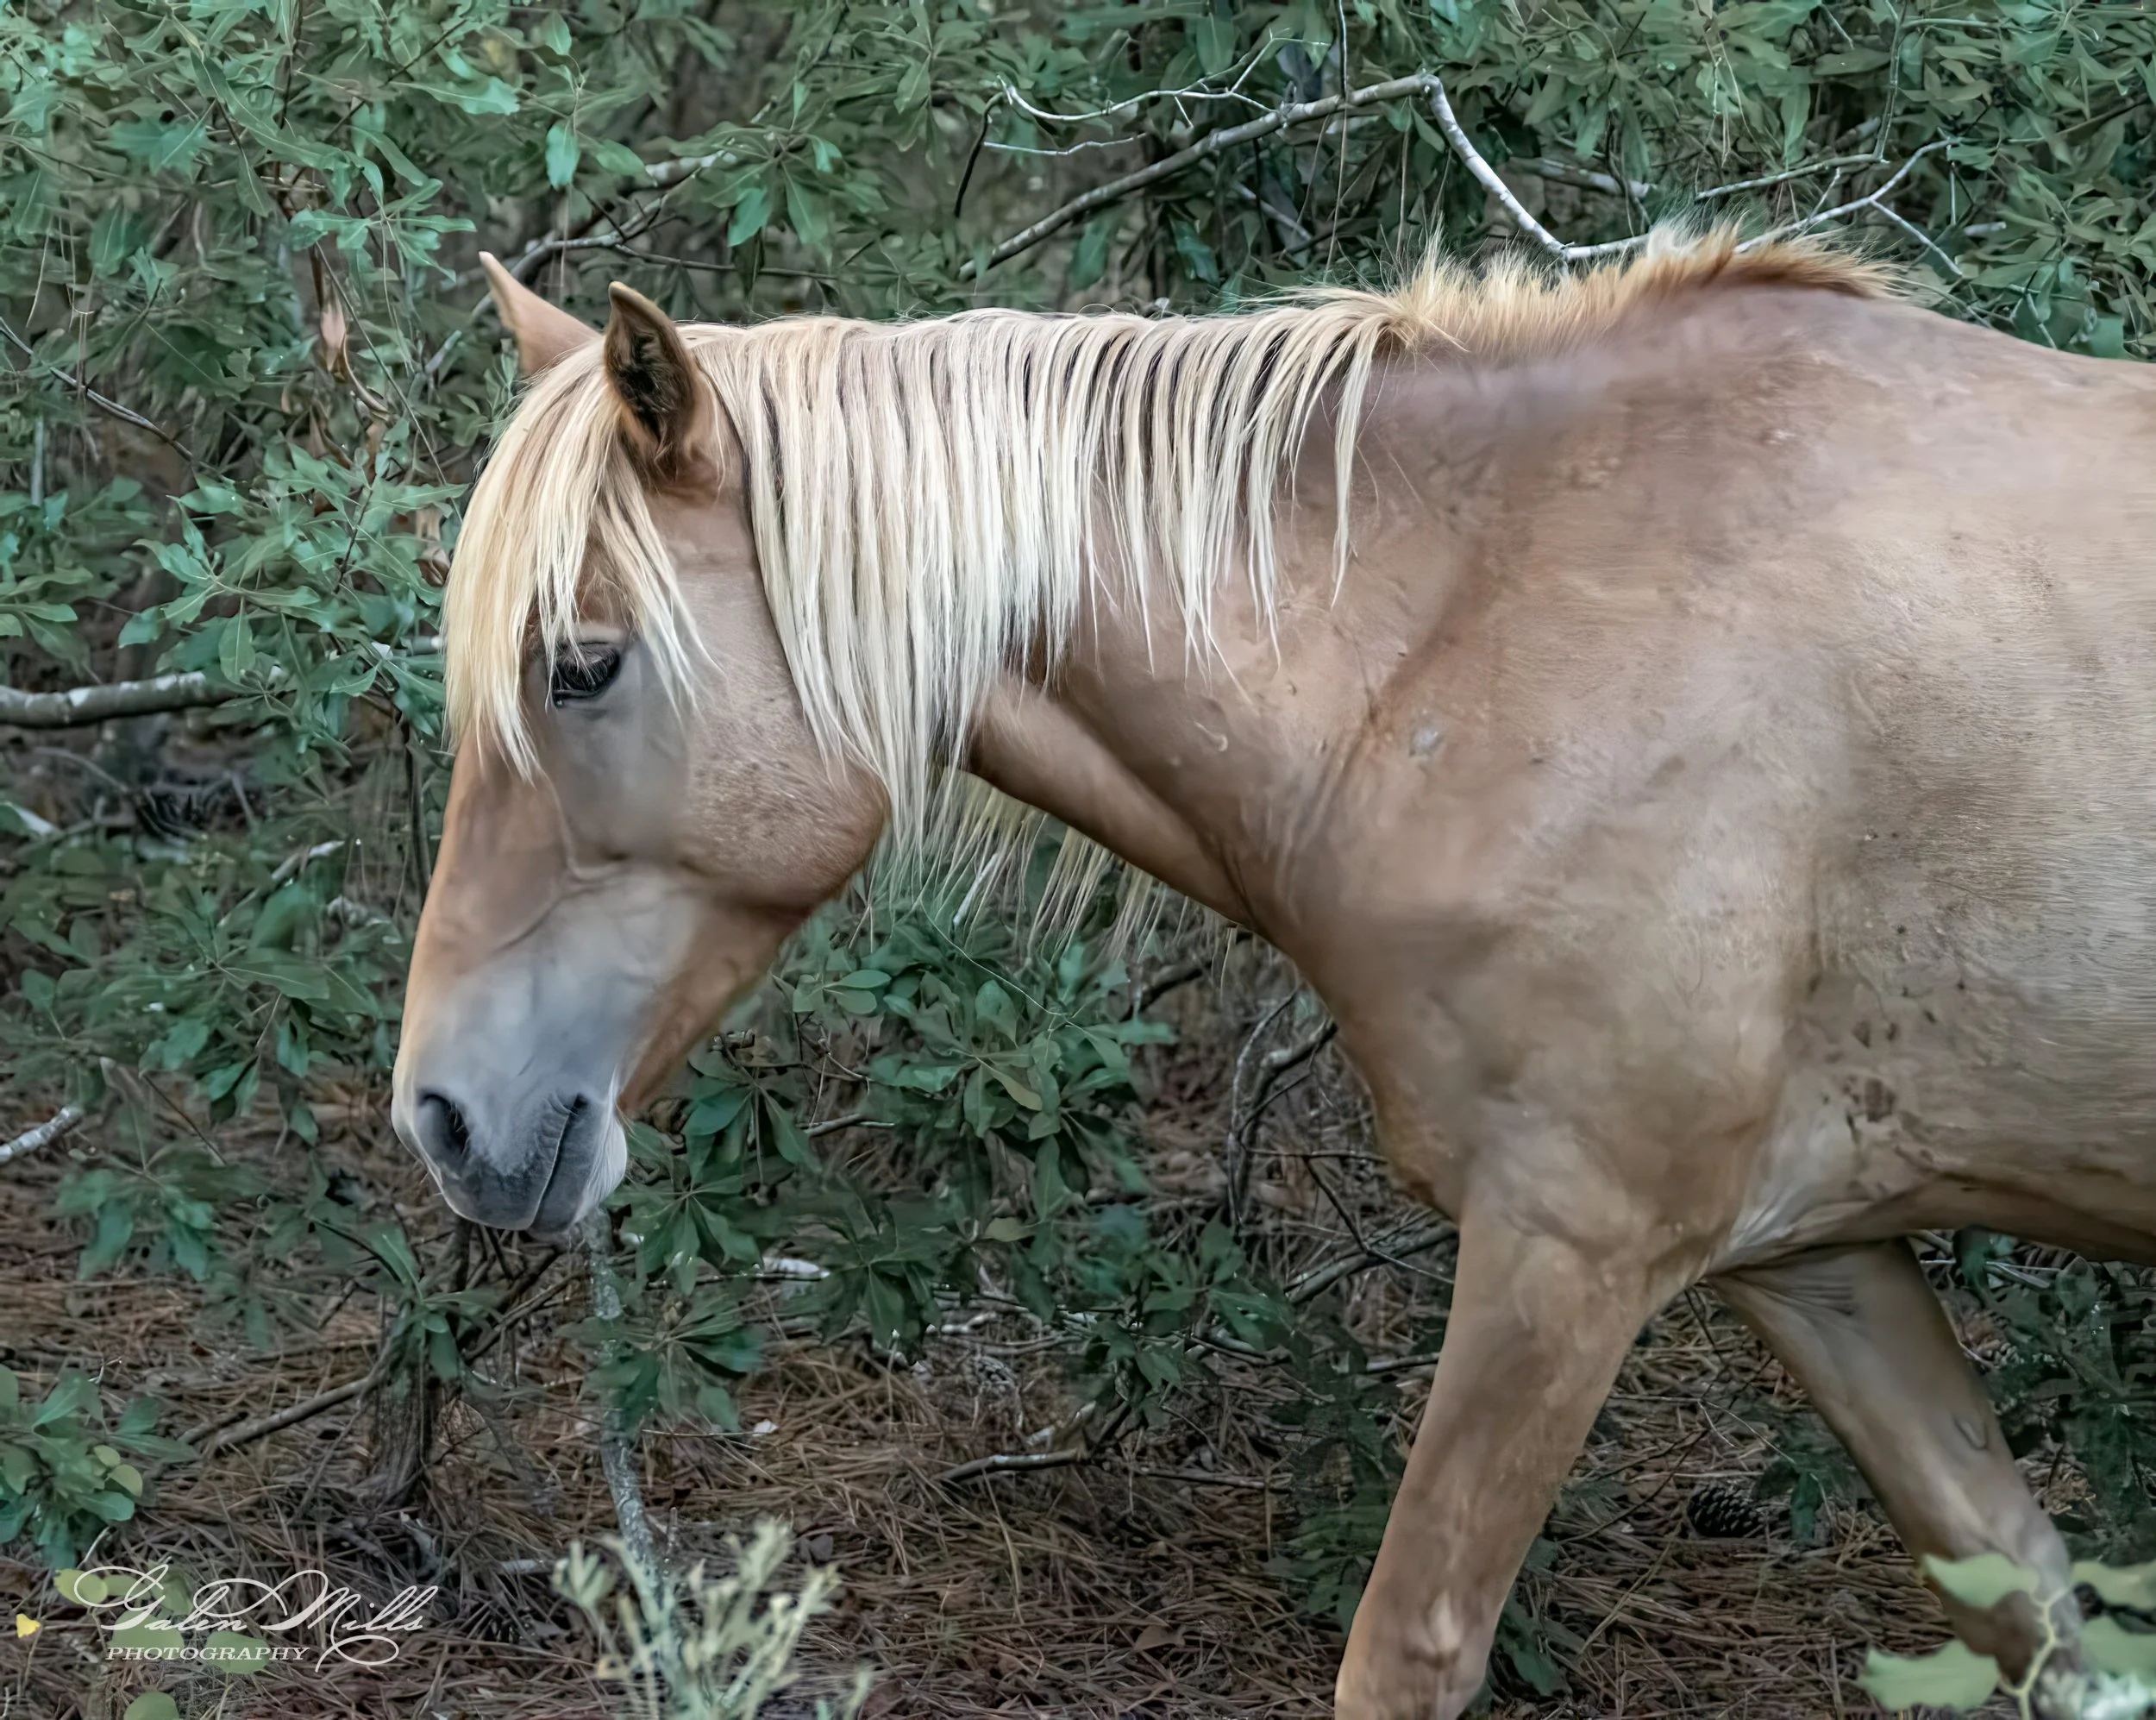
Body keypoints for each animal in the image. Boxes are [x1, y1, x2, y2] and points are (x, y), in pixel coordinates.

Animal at [392, 232, 2156, 1718]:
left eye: (583, 664)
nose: (443, 1117)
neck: (1481, 634)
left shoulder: (1564, 1253)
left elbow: (1408, 1645)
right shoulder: (1821, 1260)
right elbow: (2042, 1615)